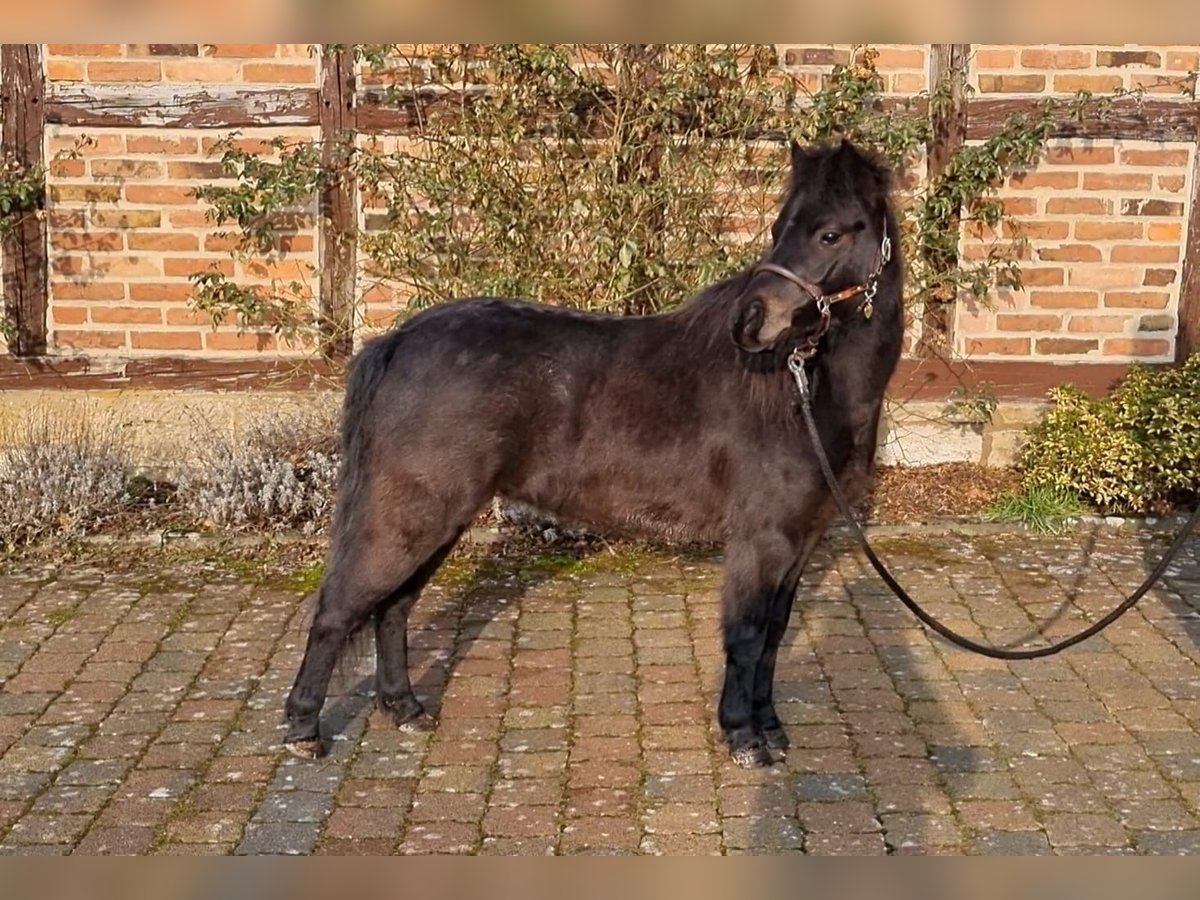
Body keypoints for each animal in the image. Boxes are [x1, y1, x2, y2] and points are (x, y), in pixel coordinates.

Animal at [283, 139, 902, 768]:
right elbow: (748, 636)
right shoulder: (763, 540)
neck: (800, 390)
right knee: (340, 609)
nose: (750, 323)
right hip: (412, 516)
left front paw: (770, 728)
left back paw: (405, 709)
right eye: (780, 229)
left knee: (394, 607)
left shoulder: (800, 541)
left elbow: (774, 635)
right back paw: (304, 729)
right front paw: (744, 737)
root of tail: (396, 341)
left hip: (439, 519)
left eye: (829, 233)